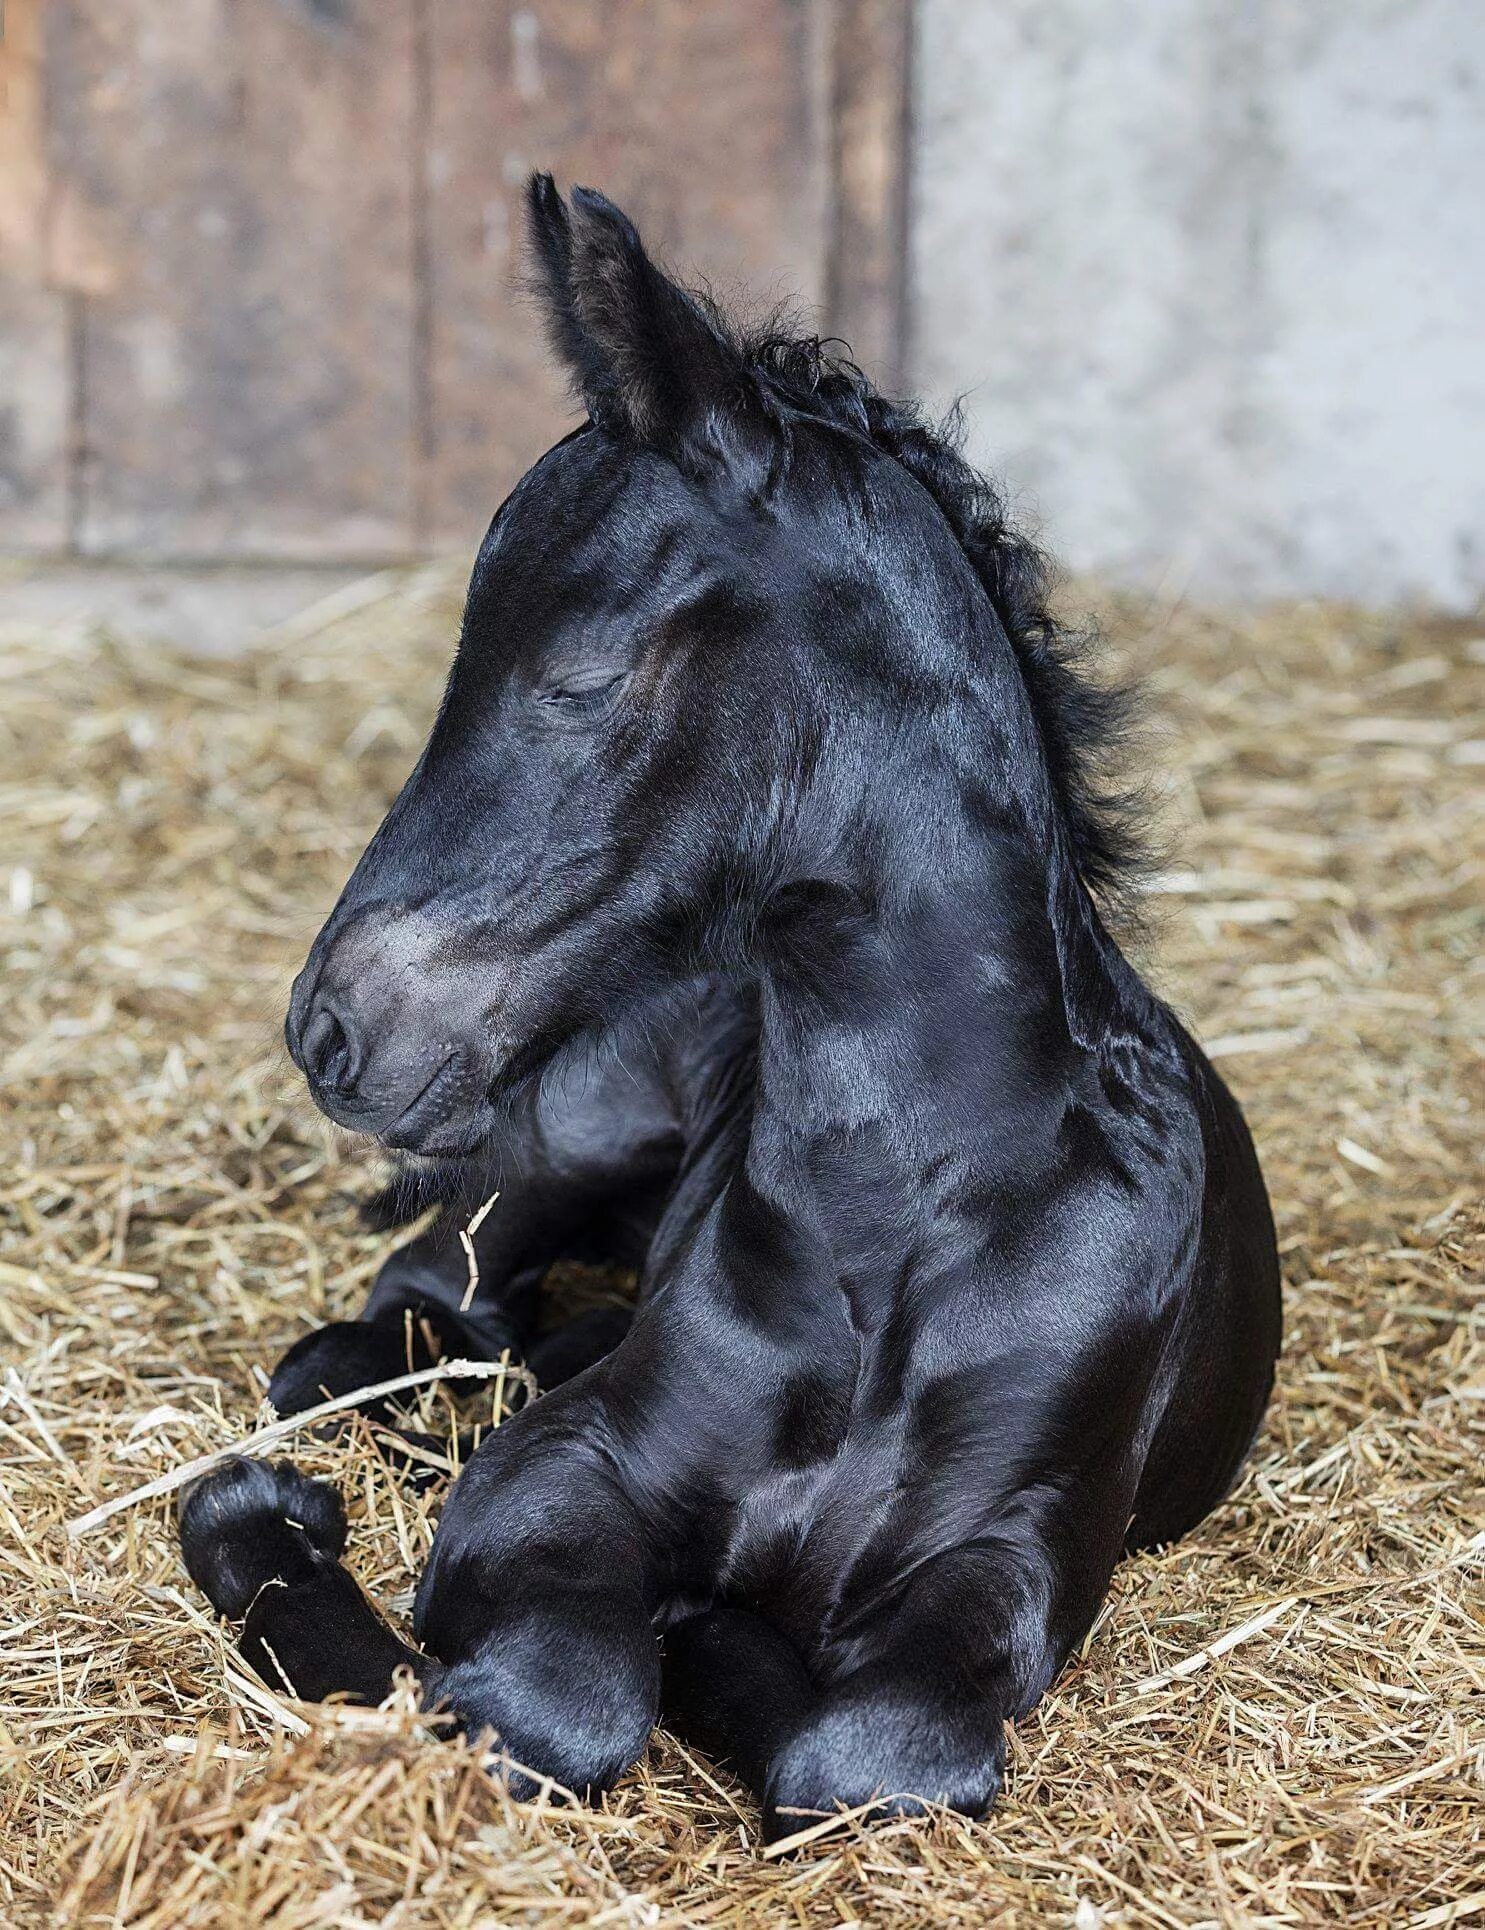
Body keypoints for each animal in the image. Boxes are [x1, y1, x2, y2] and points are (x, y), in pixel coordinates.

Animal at [182, 181, 1274, 1837]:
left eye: (578, 674)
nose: (334, 1024)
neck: (908, 1218)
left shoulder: (1017, 1551)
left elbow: (872, 1758)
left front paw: (723, 1640)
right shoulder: (565, 1468)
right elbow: (546, 1697)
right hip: (559, 1144)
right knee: (413, 1316)